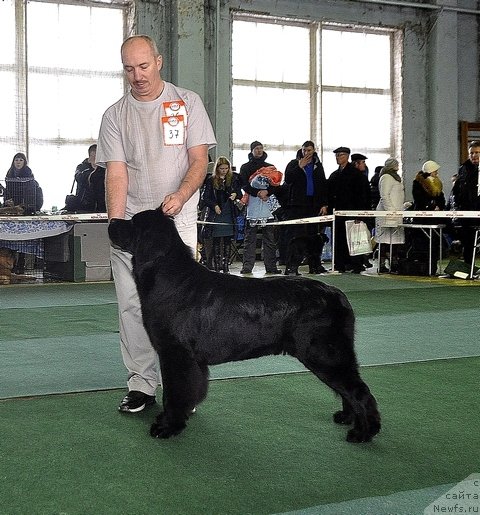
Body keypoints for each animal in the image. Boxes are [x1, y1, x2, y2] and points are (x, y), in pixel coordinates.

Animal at [109, 210, 382, 444]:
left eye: (132, 223)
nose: (111, 221)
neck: (168, 277)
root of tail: (339, 296)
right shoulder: (190, 359)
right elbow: (190, 389)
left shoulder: (176, 353)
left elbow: (175, 393)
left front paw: (166, 426)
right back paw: (346, 418)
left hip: (324, 353)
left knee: (359, 391)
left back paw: (363, 432)